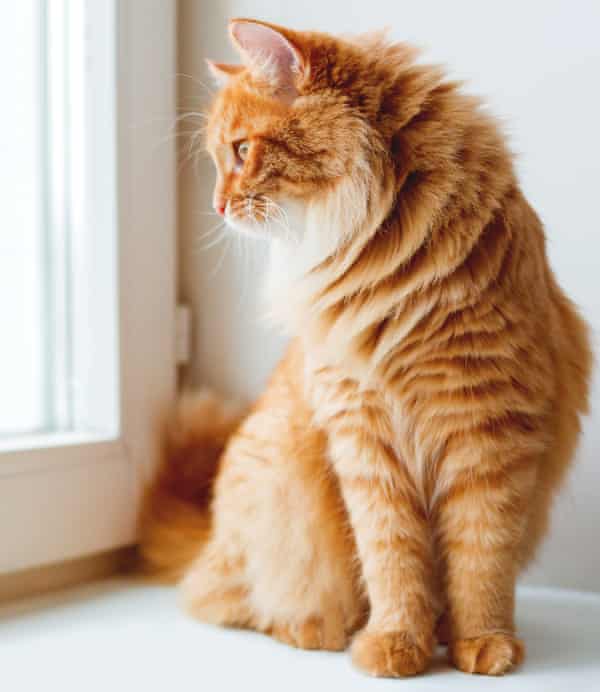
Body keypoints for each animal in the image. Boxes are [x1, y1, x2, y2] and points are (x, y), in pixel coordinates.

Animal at [139, 18, 592, 680]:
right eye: (220, 159)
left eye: (242, 152)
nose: (218, 206)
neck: (389, 265)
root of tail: (209, 539)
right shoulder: (364, 437)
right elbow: (393, 560)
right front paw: (395, 643)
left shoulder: (488, 433)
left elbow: (480, 560)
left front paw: (482, 641)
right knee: (227, 600)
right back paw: (317, 630)